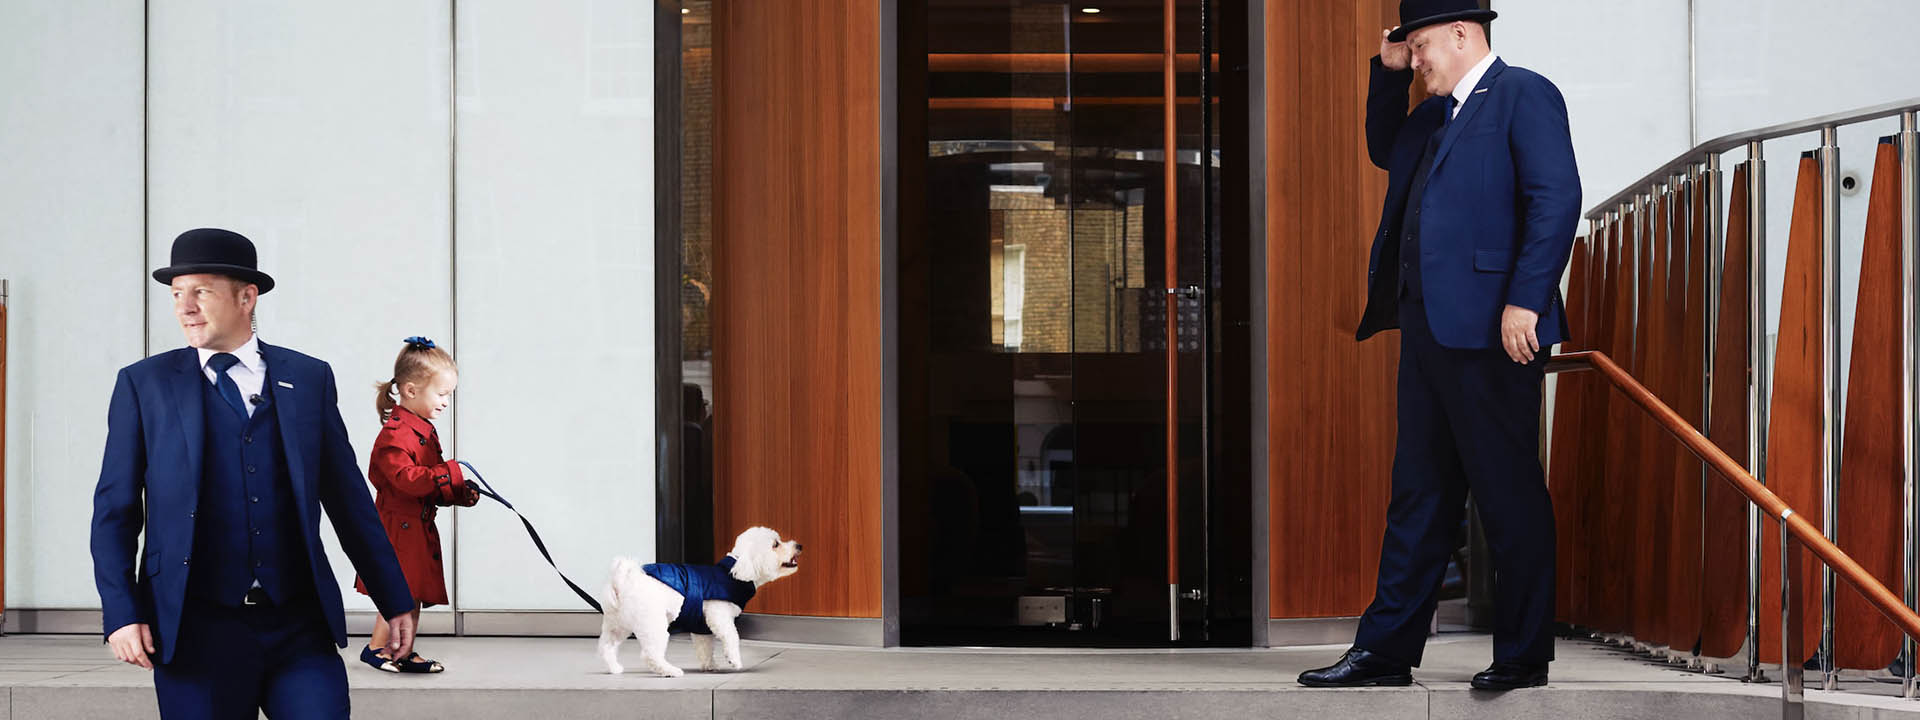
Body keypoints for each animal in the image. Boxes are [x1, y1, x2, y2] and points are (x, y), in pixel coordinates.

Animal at [595, 529, 798, 675]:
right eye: (776, 544)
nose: (799, 546)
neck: (733, 573)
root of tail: (623, 581)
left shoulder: (701, 626)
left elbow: (705, 647)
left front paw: (710, 665)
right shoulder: (719, 615)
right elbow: (732, 636)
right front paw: (734, 660)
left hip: (618, 625)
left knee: (606, 647)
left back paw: (614, 668)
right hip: (653, 624)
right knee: (649, 654)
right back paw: (670, 671)